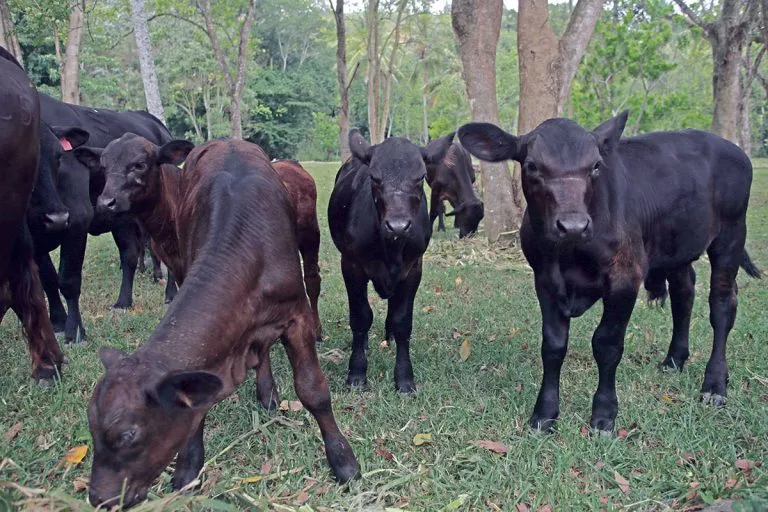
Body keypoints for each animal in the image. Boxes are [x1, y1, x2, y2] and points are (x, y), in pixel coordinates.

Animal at [83, 139, 359, 508]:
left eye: (128, 435)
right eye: (92, 429)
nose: (100, 498)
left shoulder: (296, 313)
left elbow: (313, 391)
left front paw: (343, 460)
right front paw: (188, 467)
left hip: (309, 238)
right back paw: (266, 391)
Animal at [328, 129, 454, 393]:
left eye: (420, 177)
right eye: (374, 177)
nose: (398, 225)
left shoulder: (414, 268)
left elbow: (402, 321)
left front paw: (405, 379)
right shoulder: (351, 265)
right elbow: (361, 317)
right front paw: (357, 373)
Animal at [458, 110, 761, 433]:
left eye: (595, 166)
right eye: (532, 166)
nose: (573, 226)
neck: (569, 256)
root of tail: (730, 147)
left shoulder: (625, 277)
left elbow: (607, 343)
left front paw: (604, 414)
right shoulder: (544, 278)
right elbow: (553, 345)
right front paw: (545, 413)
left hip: (730, 237)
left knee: (722, 306)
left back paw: (714, 385)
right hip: (678, 246)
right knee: (684, 295)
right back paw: (674, 361)